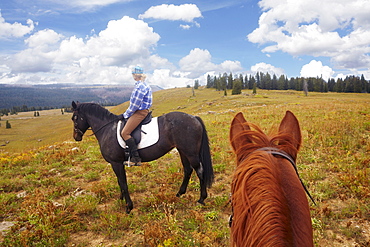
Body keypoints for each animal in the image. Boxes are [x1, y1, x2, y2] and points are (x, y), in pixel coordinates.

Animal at [71, 101, 214, 213]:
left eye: (74, 118)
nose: (76, 137)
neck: (107, 130)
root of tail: (194, 118)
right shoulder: (117, 163)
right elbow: (120, 181)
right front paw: (121, 199)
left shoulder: (116, 163)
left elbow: (123, 183)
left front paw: (128, 207)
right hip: (182, 151)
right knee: (187, 170)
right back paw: (179, 193)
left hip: (191, 153)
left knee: (199, 171)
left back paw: (201, 199)